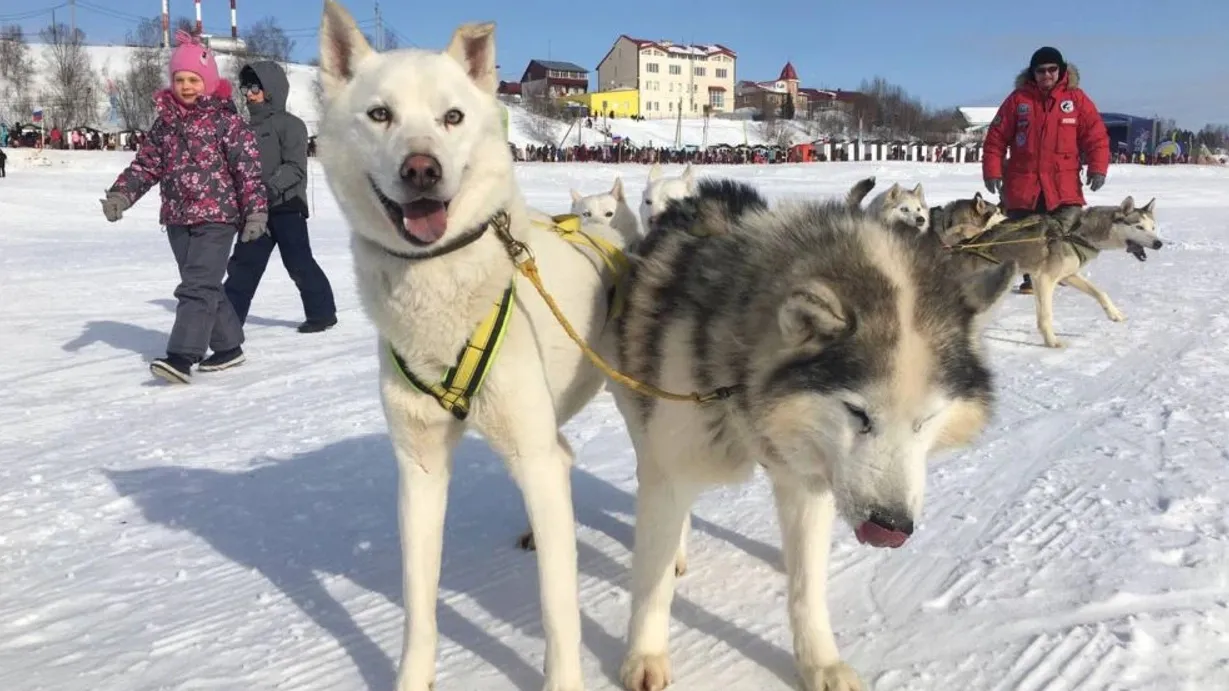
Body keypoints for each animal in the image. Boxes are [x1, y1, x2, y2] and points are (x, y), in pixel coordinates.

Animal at [317, 2, 629, 683]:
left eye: (452, 117)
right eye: (380, 114)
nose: (421, 169)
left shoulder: (533, 458)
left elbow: (558, 608)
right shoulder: (420, 467)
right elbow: (418, 602)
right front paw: (412, 677)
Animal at [607, 177, 1017, 688]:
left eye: (925, 421)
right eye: (858, 412)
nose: (892, 527)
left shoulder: (809, 484)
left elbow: (807, 589)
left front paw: (820, 662)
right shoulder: (673, 463)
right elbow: (653, 582)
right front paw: (644, 654)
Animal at [943, 194, 1155, 346]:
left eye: (1153, 227)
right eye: (1139, 227)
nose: (1158, 243)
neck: (1075, 232)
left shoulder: (1069, 276)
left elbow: (1100, 293)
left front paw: (1114, 314)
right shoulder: (1044, 279)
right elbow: (1046, 316)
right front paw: (1051, 341)